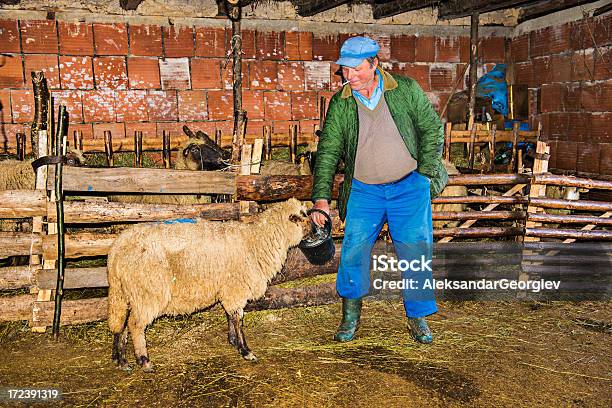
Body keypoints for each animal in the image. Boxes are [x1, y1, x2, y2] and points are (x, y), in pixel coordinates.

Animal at [106, 198, 314, 372]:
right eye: (301, 217)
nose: (316, 229)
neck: (257, 241)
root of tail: (116, 250)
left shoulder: (228, 289)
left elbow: (230, 316)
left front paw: (233, 341)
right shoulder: (235, 288)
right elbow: (237, 318)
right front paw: (245, 350)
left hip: (122, 293)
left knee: (120, 322)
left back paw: (121, 360)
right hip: (147, 291)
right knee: (135, 325)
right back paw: (144, 361)